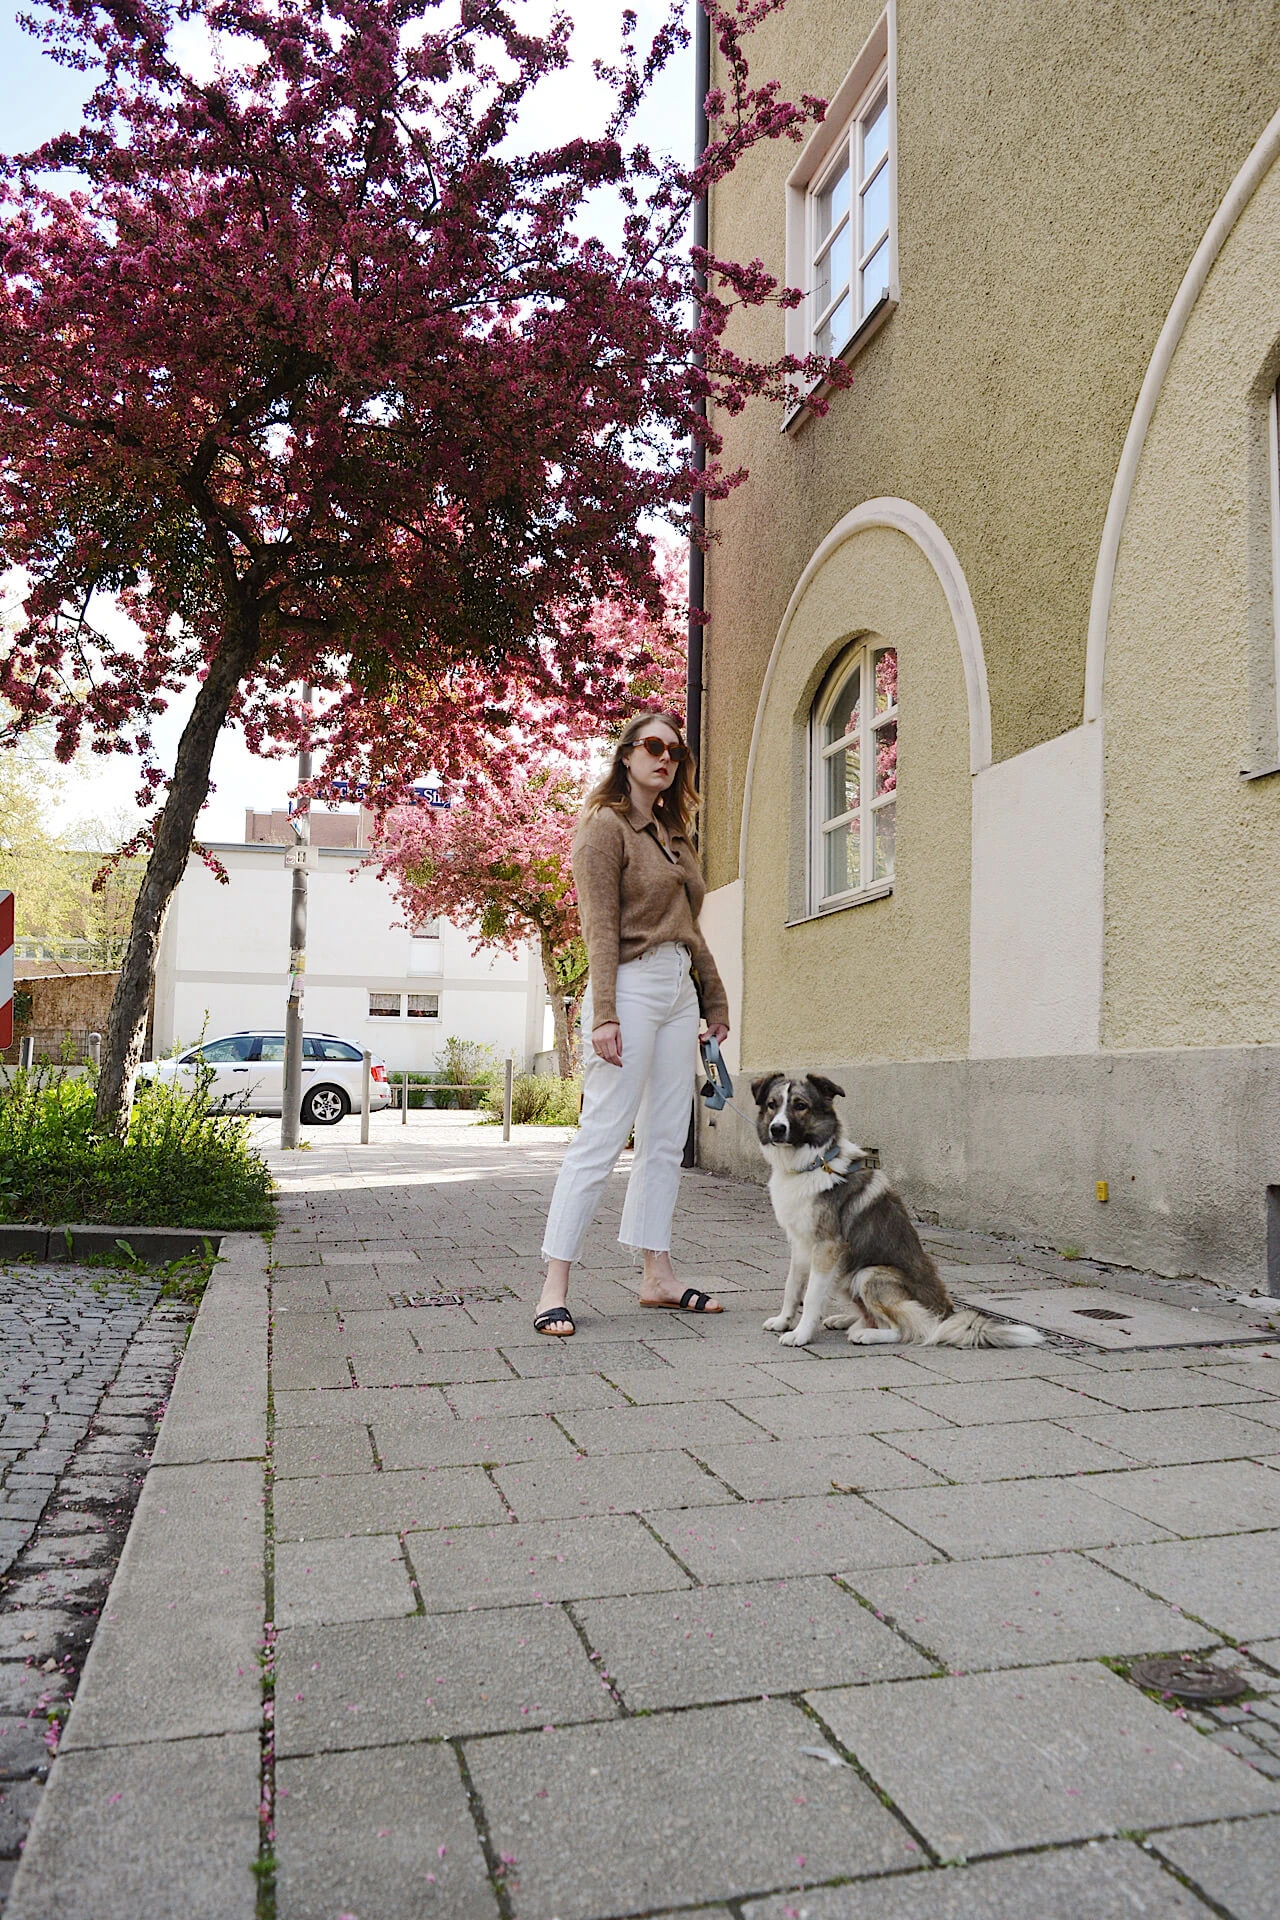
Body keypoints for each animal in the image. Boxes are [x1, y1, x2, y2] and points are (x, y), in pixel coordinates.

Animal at [756, 1067, 1043, 1351]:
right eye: (772, 1104)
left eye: (800, 1105)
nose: (777, 1129)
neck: (814, 1163)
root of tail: (945, 1313)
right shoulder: (801, 1243)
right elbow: (792, 1286)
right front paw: (783, 1321)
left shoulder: (827, 1247)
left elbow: (812, 1296)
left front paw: (801, 1334)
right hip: (848, 1274)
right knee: (876, 1317)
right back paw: (846, 1320)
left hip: (869, 1273)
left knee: (914, 1329)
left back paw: (867, 1334)